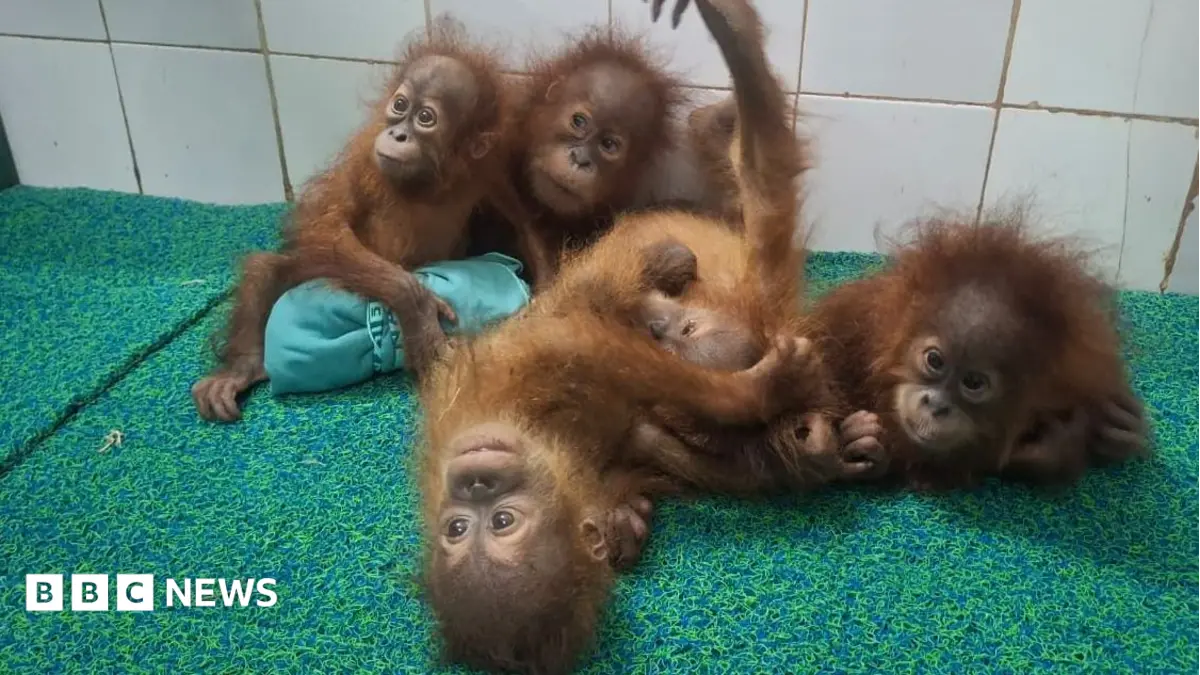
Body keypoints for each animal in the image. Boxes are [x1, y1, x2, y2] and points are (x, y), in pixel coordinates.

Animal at [191, 22, 538, 421]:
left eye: (426, 118)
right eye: (400, 105)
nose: (398, 134)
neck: (426, 183)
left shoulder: (488, 165)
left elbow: (519, 221)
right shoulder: (364, 158)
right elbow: (325, 226)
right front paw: (417, 310)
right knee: (267, 269)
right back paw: (241, 368)